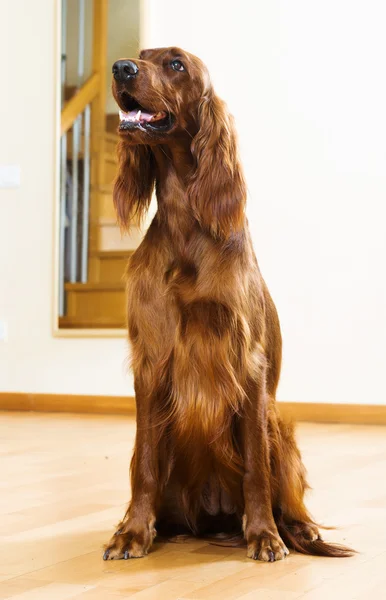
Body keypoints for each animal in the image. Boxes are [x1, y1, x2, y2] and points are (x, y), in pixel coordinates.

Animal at [103, 47, 352, 564]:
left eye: (176, 65)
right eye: (141, 57)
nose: (121, 68)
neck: (186, 225)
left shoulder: (248, 363)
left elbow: (256, 466)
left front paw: (264, 535)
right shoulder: (151, 362)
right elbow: (144, 464)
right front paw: (133, 532)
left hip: (280, 425)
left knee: (285, 490)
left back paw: (295, 529)